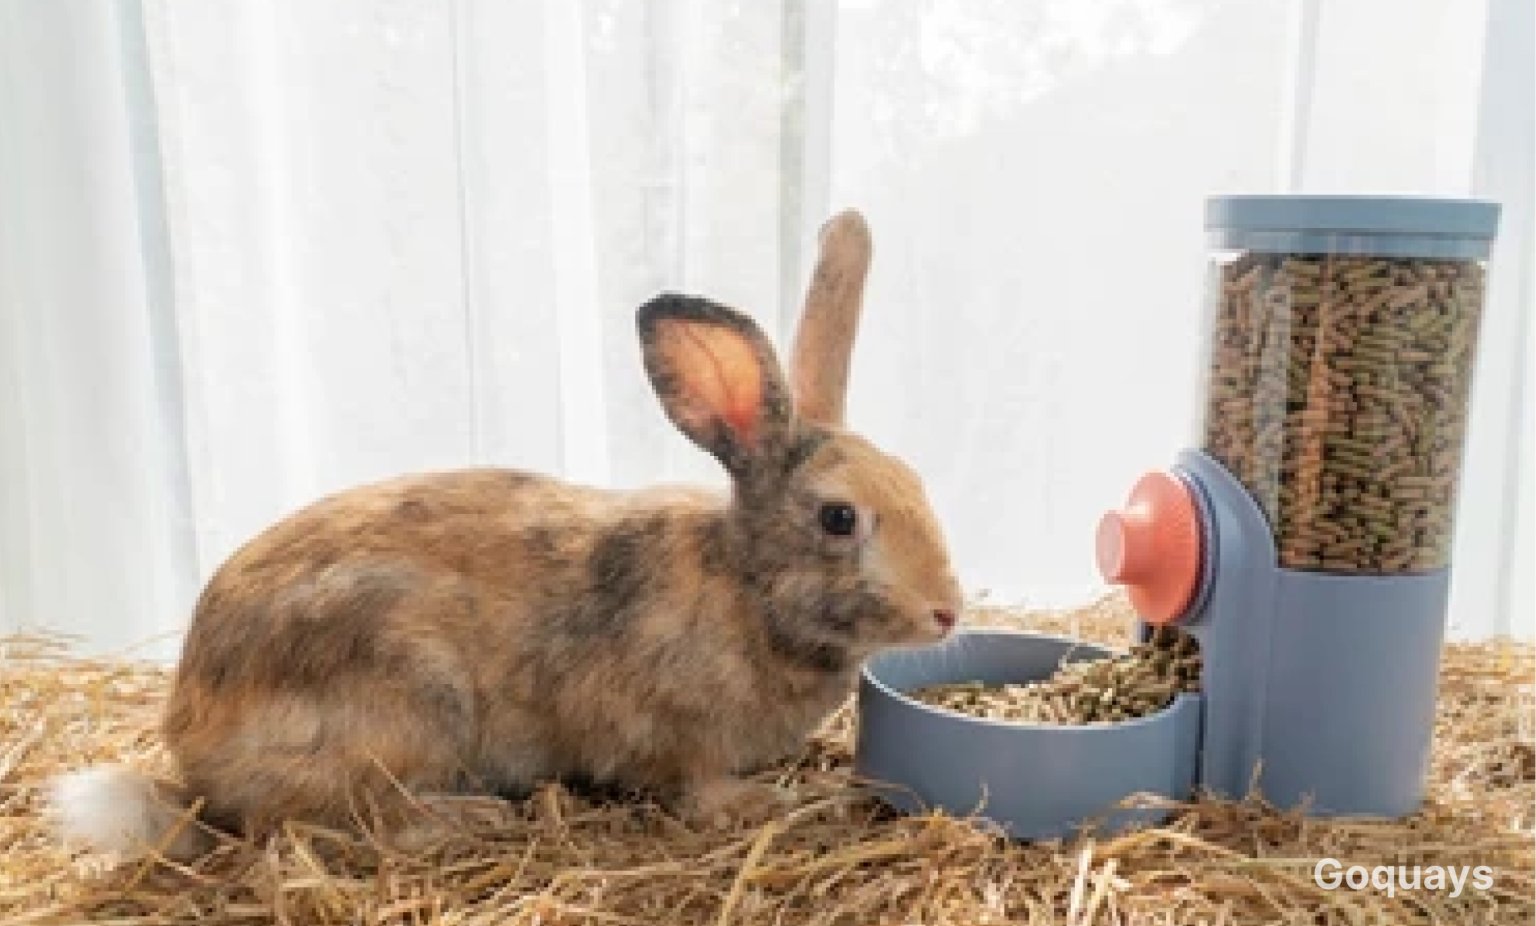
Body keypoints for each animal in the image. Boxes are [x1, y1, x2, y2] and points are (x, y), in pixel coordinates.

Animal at [49, 210, 963, 859]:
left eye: (918, 484)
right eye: (839, 517)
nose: (948, 611)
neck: (745, 585)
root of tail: (192, 755)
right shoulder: (672, 734)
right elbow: (691, 784)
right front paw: (756, 804)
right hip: (411, 699)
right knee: (345, 822)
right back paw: (470, 819)